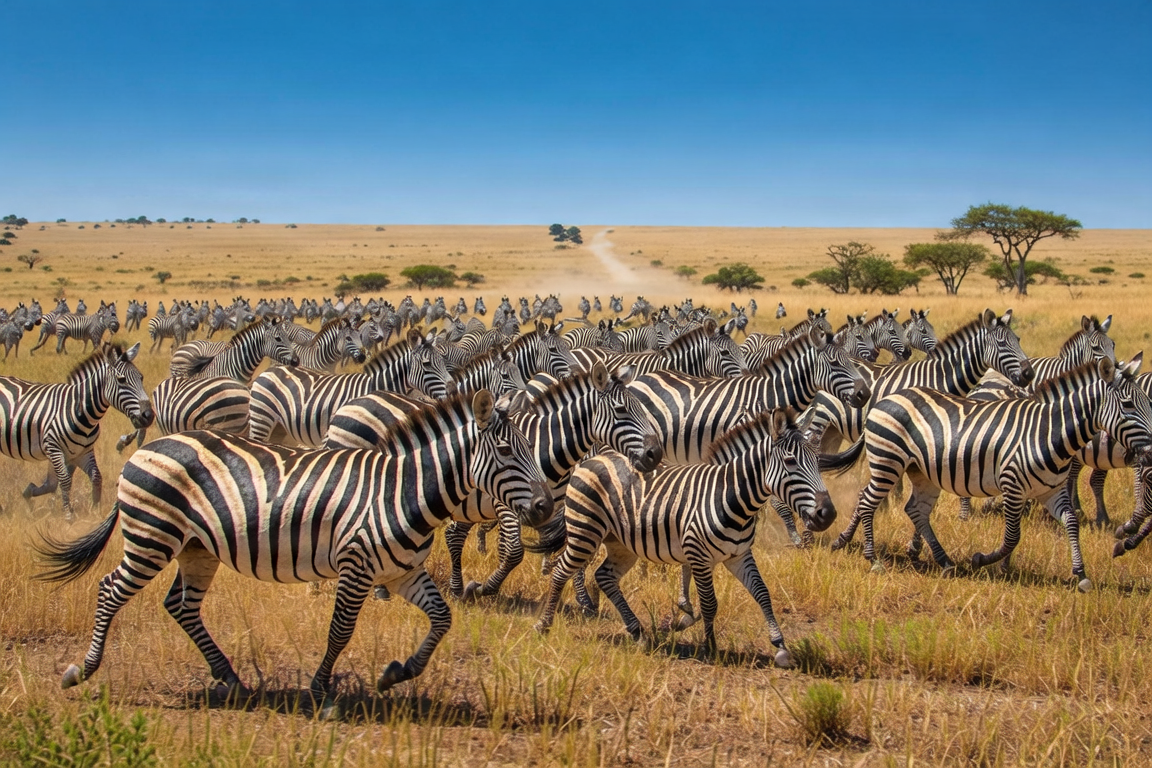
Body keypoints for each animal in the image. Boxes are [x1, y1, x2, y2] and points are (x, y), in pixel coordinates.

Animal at [0, 343, 152, 515]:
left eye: (141, 377)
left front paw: (95, 512)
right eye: (122, 380)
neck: (78, 410)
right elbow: (64, 481)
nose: (149, 416)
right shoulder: (53, 448)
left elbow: (95, 477)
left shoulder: (82, 452)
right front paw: (68, 514)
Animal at [36, 390, 554, 697]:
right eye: (506, 451)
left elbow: (443, 617)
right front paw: (320, 691)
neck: (401, 490)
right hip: (152, 537)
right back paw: (82, 671)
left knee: (181, 605)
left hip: (195, 548)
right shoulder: (356, 565)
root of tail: (147, 448)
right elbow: (340, 631)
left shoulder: (402, 572)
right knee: (110, 590)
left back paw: (230, 678)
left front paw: (397, 672)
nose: (547, 506)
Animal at [248, 328, 455, 446]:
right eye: (427, 364)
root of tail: (268, 370)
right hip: (261, 417)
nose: (453, 390)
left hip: (279, 427)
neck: (376, 385)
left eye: (444, 361)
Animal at [532, 409, 832, 663]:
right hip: (584, 532)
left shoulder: (738, 555)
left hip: (621, 545)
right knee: (561, 571)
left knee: (604, 576)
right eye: (791, 462)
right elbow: (709, 603)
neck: (729, 494)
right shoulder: (697, 554)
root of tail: (593, 458)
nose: (827, 514)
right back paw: (544, 625)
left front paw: (780, 646)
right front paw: (710, 647)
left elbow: (762, 592)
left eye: (817, 461)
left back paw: (638, 633)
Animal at [823, 357, 1152, 591]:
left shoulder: (1050, 490)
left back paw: (943, 561)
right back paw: (872, 559)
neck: (1048, 431)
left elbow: (1071, 522)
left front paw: (1080, 573)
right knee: (867, 501)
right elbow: (1012, 535)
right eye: (1128, 404)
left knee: (915, 510)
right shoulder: (1012, 484)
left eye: (1147, 402)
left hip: (921, 472)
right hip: (888, 460)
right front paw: (985, 561)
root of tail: (884, 400)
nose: (1151, 450)